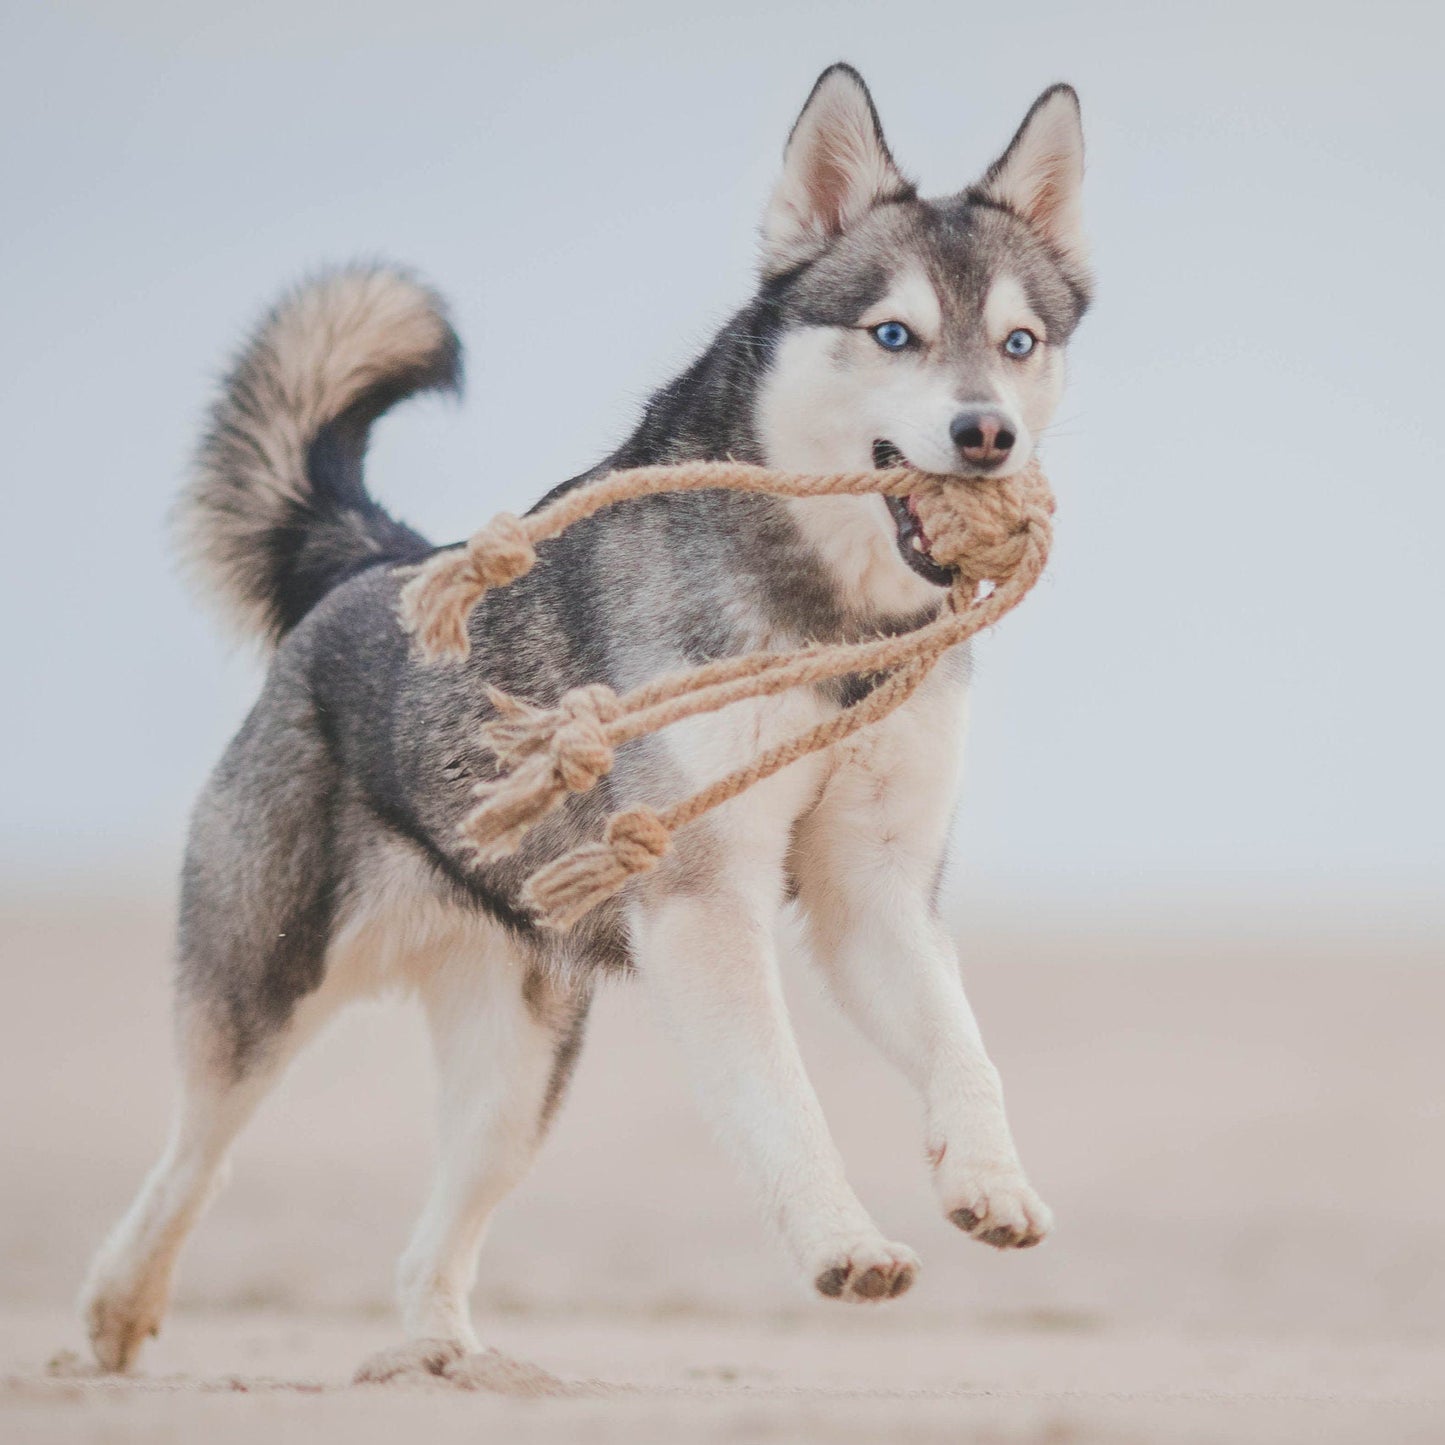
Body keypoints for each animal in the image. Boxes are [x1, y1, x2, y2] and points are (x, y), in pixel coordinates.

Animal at [84, 65, 1086, 1375]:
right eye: (892, 334)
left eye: (1016, 342)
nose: (985, 434)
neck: (838, 625)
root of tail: (379, 563)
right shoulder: (701, 896)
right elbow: (781, 1094)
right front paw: (841, 1240)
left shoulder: (871, 887)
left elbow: (966, 1048)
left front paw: (986, 1177)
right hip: (264, 988)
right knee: (193, 1156)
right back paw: (118, 1309)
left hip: (517, 1074)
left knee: (431, 1235)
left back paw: (451, 1363)